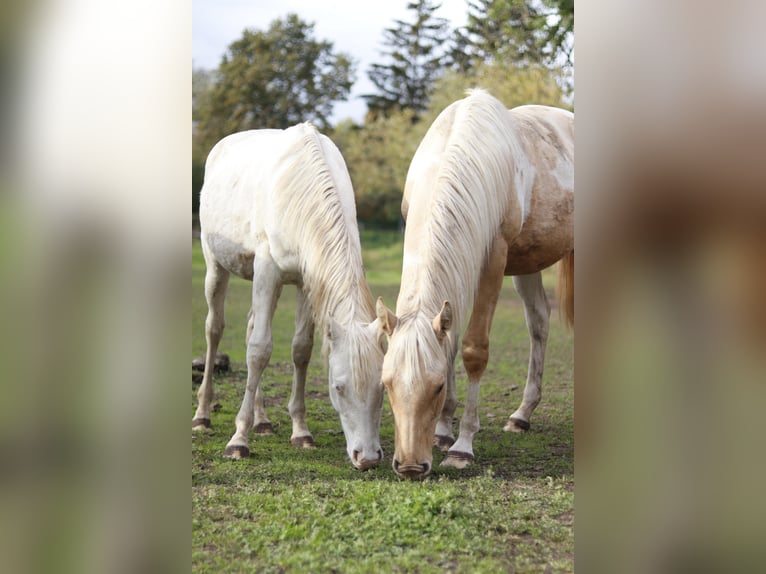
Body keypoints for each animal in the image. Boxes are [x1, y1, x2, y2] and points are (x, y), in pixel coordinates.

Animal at [190, 124, 384, 470]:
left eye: (383, 387)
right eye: (338, 387)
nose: (368, 457)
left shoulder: (307, 280)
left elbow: (300, 349)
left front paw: (301, 433)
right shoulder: (267, 270)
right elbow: (259, 350)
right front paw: (238, 441)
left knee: (251, 326)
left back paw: (263, 420)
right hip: (215, 265)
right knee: (215, 329)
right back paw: (203, 416)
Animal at [378, 90, 576, 482]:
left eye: (437, 386)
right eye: (387, 383)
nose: (410, 466)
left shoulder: (493, 260)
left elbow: (473, 350)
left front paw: (462, 447)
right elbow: (450, 343)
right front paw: (443, 431)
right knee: (539, 323)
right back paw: (522, 415)